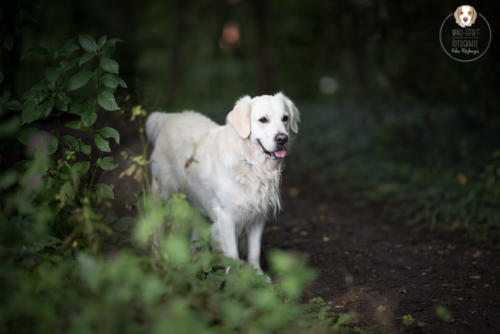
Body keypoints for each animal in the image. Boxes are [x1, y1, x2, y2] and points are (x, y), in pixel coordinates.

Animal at [146, 92, 298, 272]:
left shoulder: (258, 215)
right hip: (162, 193)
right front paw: (235, 277)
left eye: (285, 118)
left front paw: (257, 274)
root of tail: (169, 117)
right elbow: (232, 254)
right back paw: (157, 259)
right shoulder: (226, 216)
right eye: (263, 119)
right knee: (156, 226)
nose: (283, 138)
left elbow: (255, 251)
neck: (250, 164)